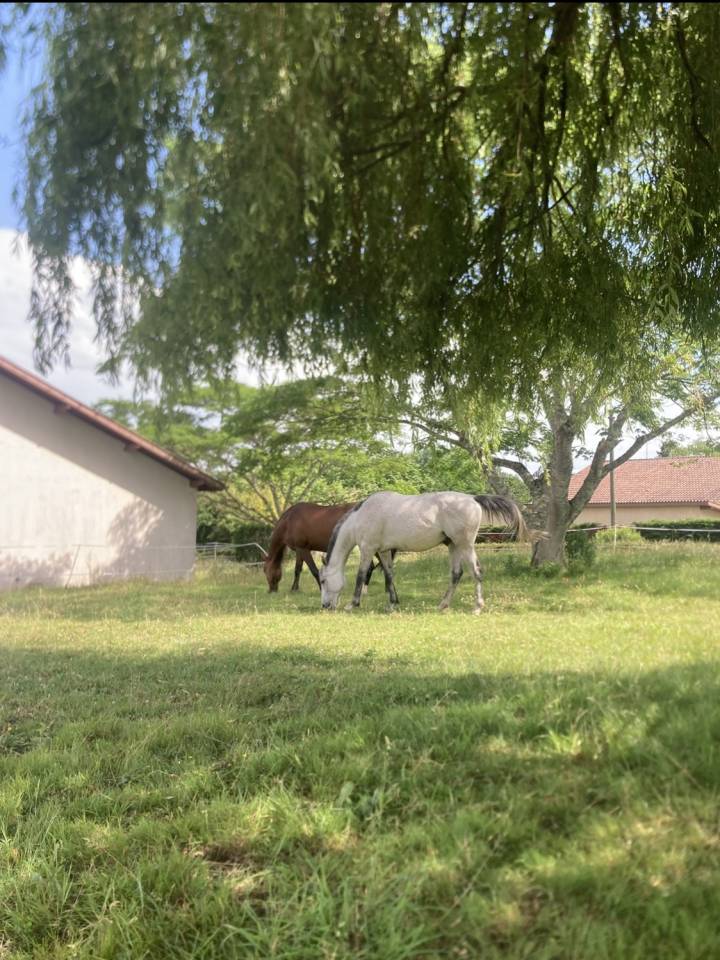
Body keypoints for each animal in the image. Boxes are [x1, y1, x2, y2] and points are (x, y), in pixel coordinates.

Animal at [263, 502, 393, 593]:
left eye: (264, 570)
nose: (271, 590)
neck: (289, 521)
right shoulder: (299, 550)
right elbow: (297, 570)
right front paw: (294, 589)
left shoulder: (304, 550)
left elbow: (314, 570)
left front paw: (322, 588)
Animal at [319, 492, 528, 614]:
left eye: (323, 581)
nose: (325, 606)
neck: (361, 516)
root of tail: (473, 499)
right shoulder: (384, 551)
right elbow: (389, 575)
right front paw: (392, 604)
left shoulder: (368, 549)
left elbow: (361, 575)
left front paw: (352, 604)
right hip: (454, 546)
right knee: (456, 574)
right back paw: (443, 605)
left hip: (465, 545)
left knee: (476, 572)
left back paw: (477, 608)